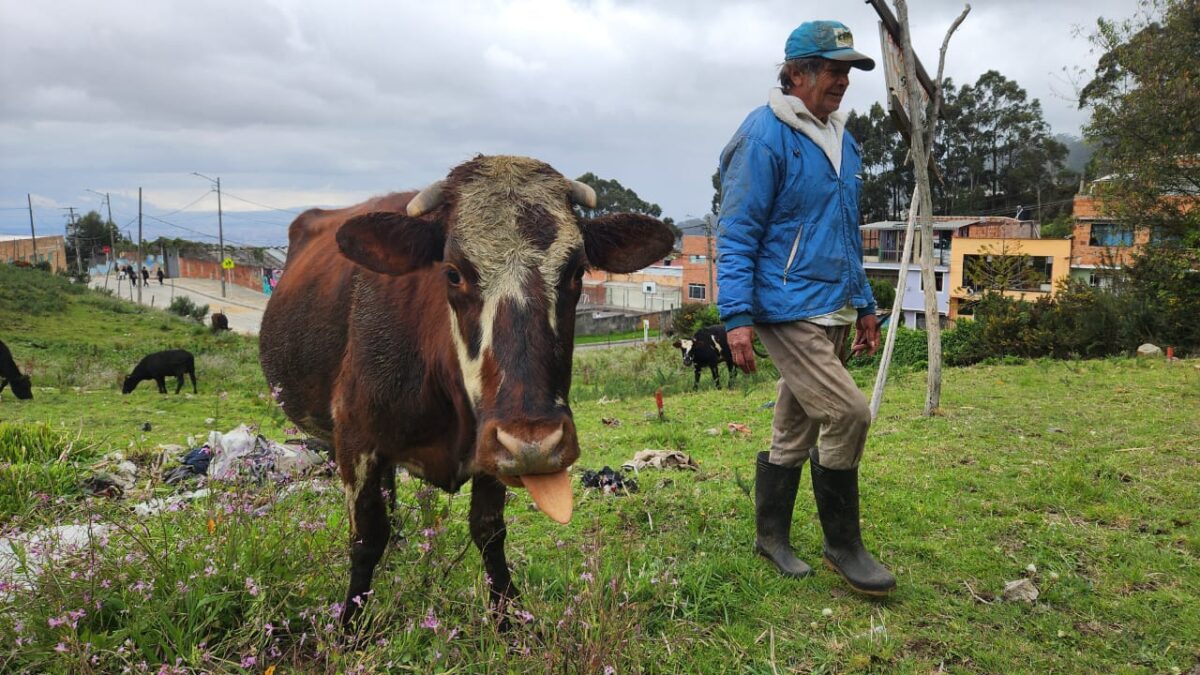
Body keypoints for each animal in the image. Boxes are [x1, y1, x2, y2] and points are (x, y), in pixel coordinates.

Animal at [259, 155, 674, 628]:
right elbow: (365, 537)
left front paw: (508, 617)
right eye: (453, 273)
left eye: (576, 271)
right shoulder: (355, 441)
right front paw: (350, 624)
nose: (534, 444)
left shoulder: (490, 449)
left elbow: (489, 531)